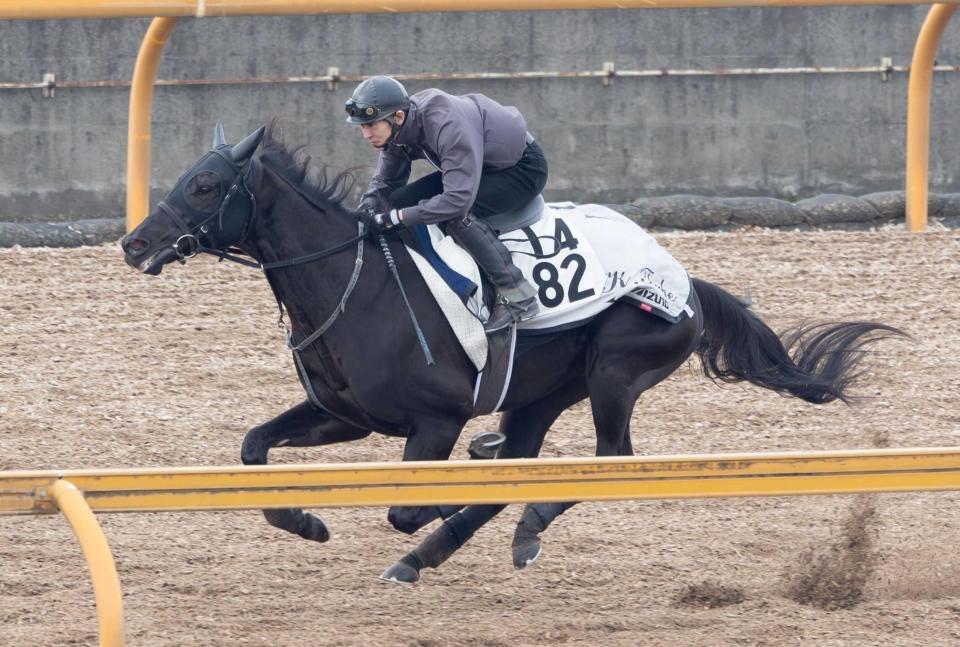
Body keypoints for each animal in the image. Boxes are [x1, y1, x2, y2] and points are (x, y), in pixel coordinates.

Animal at [124, 121, 904, 584]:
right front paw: (308, 522)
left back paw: (499, 528)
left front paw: (429, 510)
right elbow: (254, 449)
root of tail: (684, 281)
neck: (355, 282)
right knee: (528, 457)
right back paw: (456, 540)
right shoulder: (344, 415)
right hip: (542, 391)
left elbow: (406, 505)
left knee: (607, 460)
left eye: (203, 184)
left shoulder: (433, 422)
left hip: (614, 369)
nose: (134, 242)